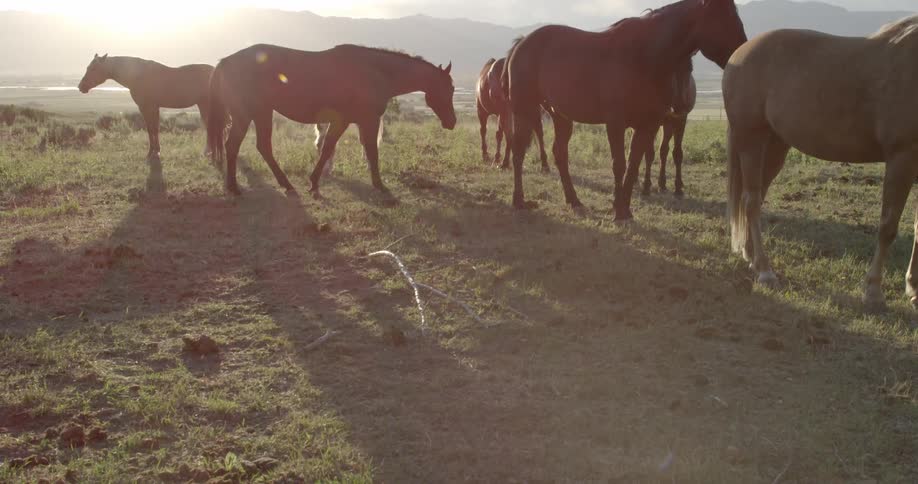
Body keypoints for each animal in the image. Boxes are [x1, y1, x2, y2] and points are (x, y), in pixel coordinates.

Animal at [78, 54, 213, 161]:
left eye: (93, 68)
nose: (81, 86)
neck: (138, 76)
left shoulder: (148, 107)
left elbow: (152, 129)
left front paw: (153, 153)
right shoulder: (150, 108)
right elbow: (152, 129)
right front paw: (154, 151)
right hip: (204, 105)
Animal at [207, 44, 456, 197]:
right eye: (450, 88)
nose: (452, 122)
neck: (375, 71)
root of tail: (224, 62)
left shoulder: (345, 122)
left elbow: (328, 148)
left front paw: (314, 182)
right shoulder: (366, 121)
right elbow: (370, 152)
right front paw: (379, 185)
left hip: (262, 113)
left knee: (262, 147)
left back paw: (285, 184)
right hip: (247, 115)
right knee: (233, 146)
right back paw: (234, 187)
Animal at [642, 58, 697, 197]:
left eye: (690, 69)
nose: (680, 106)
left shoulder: (680, 120)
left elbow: (677, 153)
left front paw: (678, 188)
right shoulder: (651, 122)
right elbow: (649, 153)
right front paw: (646, 186)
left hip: (668, 124)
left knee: (664, 150)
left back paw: (663, 183)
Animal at [724, 15, 918, 311]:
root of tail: (738, 54)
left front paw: (913, 288)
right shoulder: (902, 158)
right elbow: (888, 226)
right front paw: (873, 291)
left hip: (774, 146)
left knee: (753, 197)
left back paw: (752, 257)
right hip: (751, 139)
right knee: (752, 202)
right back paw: (766, 271)